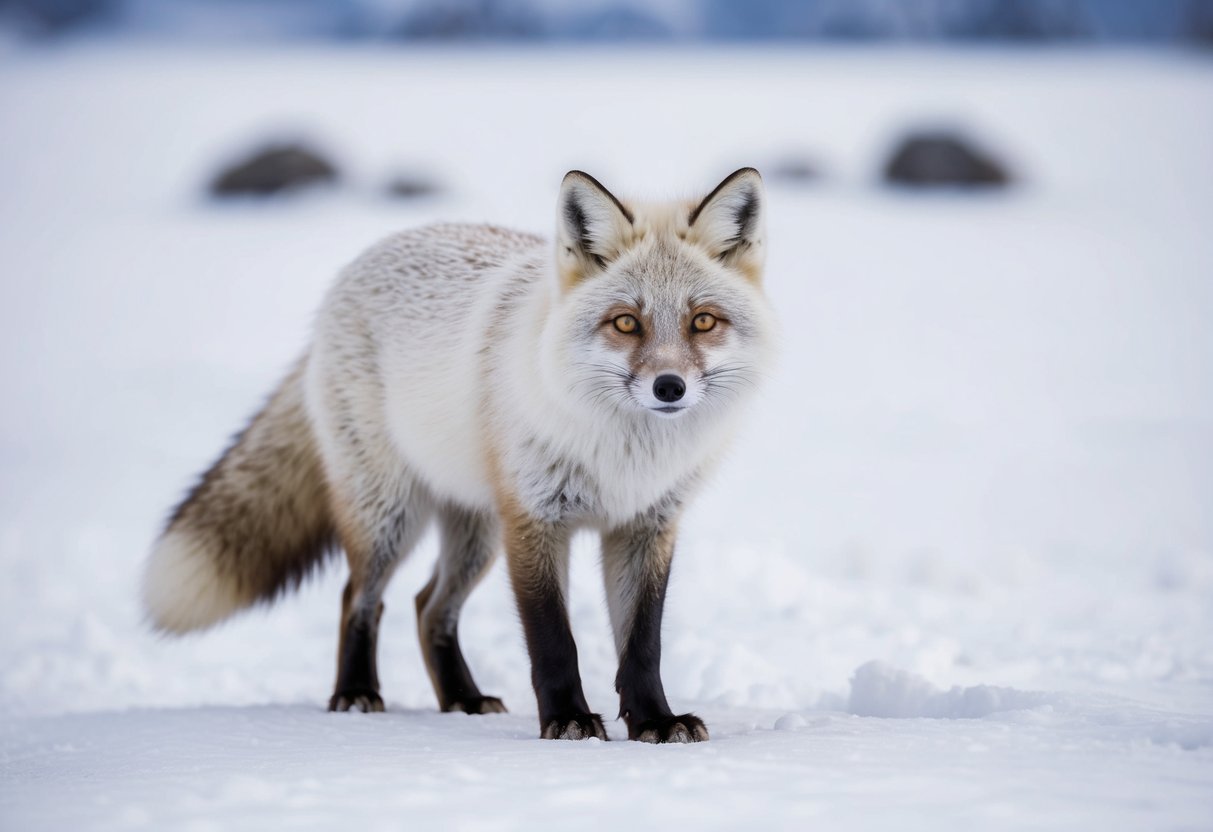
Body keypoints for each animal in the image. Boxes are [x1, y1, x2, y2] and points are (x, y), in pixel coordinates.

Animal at [143, 167, 776, 742]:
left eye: (702, 321)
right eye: (626, 322)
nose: (670, 387)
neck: (624, 455)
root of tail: (353, 270)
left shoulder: (646, 525)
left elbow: (643, 645)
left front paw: (654, 721)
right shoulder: (534, 519)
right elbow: (553, 639)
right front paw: (568, 720)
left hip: (475, 531)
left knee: (429, 607)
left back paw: (462, 700)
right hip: (391, 517)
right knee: (361, 598)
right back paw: (356, 693)